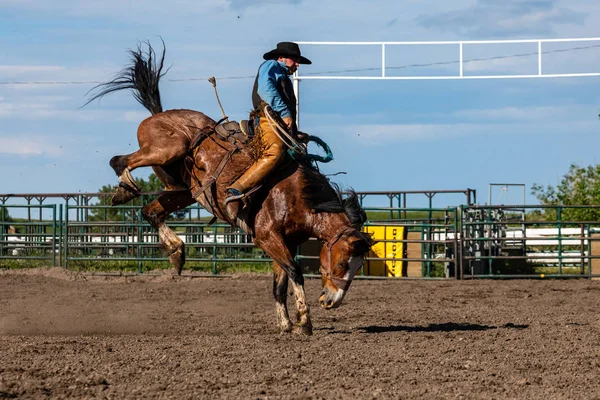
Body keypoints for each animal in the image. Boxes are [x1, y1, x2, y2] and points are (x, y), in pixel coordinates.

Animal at [86, 41, 372, 334]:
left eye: (358, 266)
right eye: (342, 262)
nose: (332, 301)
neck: (297, 197)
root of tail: (160, 114)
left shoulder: (285, 243)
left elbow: (279, 285)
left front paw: (285, 324)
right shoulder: (268, 237)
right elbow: (295, 272)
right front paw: (304, 321)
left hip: (182, 190)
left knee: (151, 211)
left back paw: (176, 252)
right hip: (167, 149)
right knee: (119, 161)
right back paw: (125, 187)